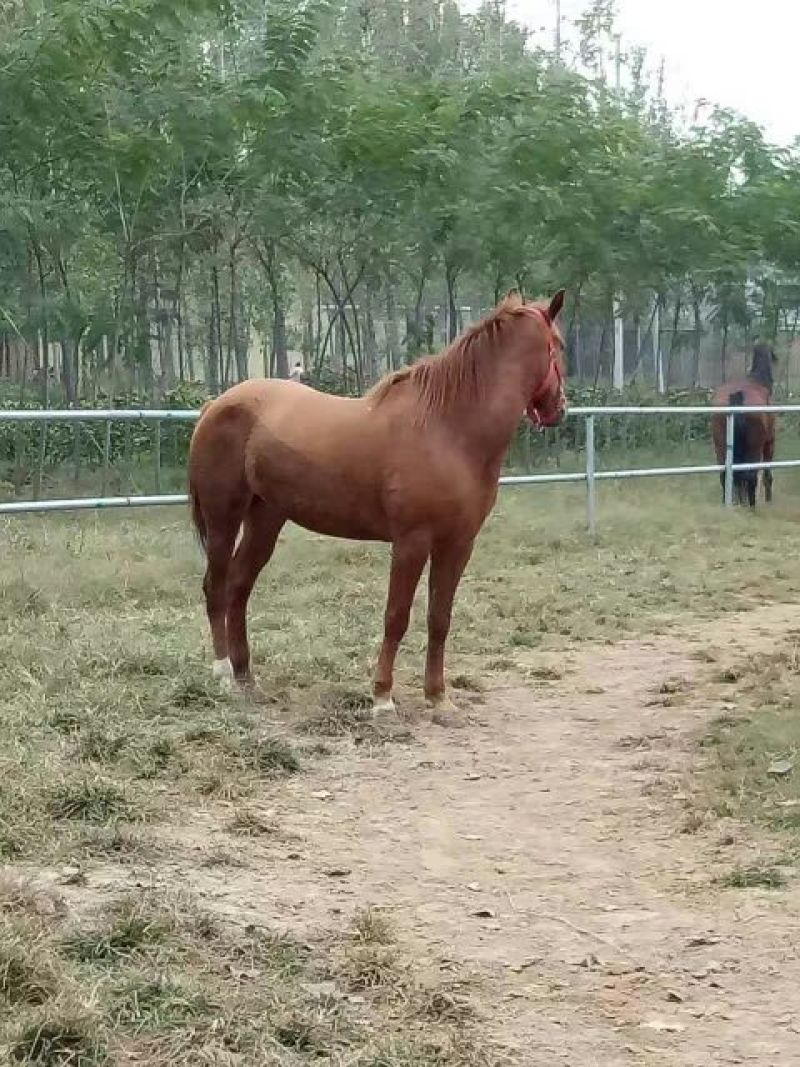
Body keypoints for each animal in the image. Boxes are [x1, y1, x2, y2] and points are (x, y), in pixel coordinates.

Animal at [188, 289, 566, 726]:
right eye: (560, 345)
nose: (559, 408)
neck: (447, 429)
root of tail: (216, 405)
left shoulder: (458, 544)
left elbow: (439, 619)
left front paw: (439, 698)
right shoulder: (411, 542)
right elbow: (396, 616)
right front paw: (382, 697)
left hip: (266, 518)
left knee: (239, 587)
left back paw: (246, 677)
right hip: (223, 517)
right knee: (216, 586)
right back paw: (223, 675)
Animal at [711, 343, 776, 508]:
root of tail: (737, 395)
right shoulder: (770, 443)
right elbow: (767, 475)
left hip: (720, 447)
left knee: (725, 475)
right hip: (755, 448)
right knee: (751, 476)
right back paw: (752, 507)